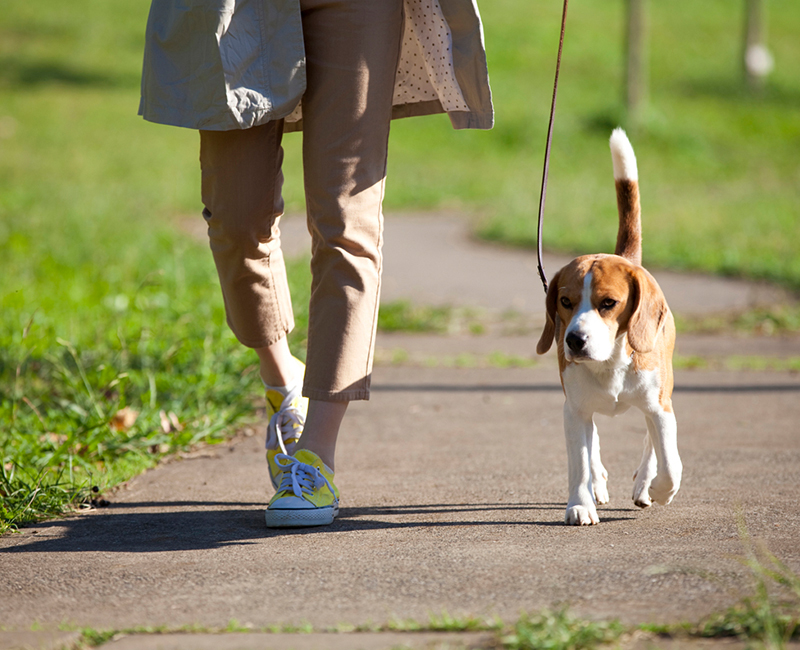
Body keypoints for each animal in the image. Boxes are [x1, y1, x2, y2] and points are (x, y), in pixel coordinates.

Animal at [536, 129, 680, 524]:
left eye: (608, 303)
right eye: (564, 301)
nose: (574, 340)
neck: (610, 363)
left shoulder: (661, 407)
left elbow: (669, 461)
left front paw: (658, 488)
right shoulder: (574, 410)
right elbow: (580, 461)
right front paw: (580, 503)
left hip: (661, 391)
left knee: (651, 440)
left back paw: (645, 483)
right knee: (594, 441)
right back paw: (598, 483)